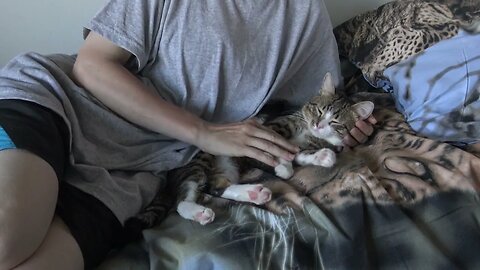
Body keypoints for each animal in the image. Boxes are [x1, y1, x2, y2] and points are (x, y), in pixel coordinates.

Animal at [124, 72, 376, 228]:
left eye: (335, 122)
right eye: (318, 109)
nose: (318, 124)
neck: (308, 132)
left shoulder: (308, 144)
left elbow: (301, 154)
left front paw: (323, 157)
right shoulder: (273, 127)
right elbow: (277, 146)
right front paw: (283, 167)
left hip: (226, 167)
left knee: (216, 187)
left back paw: (254, 193)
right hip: (203, 159)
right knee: (183, 198)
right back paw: (198, 211)